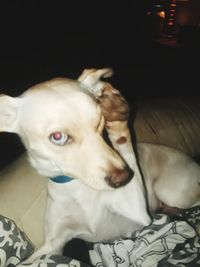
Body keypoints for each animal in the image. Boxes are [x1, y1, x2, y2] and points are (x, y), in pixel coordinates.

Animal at [0, 69, 199, 264]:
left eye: (100, 121)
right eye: (58, 137)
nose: (123, 178)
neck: (77, 188)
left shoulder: (140, 212)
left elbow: (123, 142)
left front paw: (117, 115)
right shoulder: (52, 245)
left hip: (171, 192)